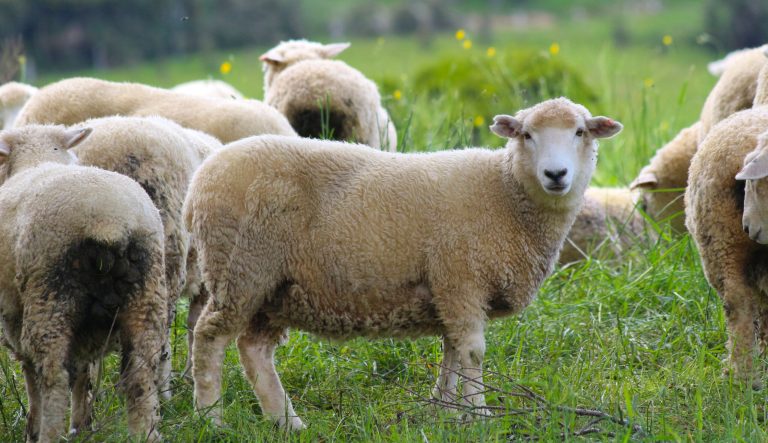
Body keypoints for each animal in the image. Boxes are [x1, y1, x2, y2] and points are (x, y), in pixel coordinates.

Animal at [0, 124, 167, 442]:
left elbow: (33, 376)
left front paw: (34, 428)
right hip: (147, 295)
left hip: (50, 296)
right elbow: (84, 373)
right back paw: (144, 433)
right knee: (141, 374)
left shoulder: (14, 315)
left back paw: (48, 433)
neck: (38, 160)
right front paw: (81, 425)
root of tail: (108, 220)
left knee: (53, 377)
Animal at [183, 97, 623, 429]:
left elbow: (451, 353)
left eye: (580, 132)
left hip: (274, 286)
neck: (506, 193)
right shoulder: (461, 278)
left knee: (254, 349)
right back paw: (211, 418)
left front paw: (445, 410)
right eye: (527, 135)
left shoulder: (449, 290)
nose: (556, 174)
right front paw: (479, 415)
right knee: (209, 337)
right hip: (240, 267)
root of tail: (200, 178)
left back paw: (286, 423)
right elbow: (472, 353)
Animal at [685, 106, 768, 387]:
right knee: (741, 305)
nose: (748, 228)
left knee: (738, 304)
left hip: (720, 241)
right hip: (724, 243)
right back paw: (742, 374)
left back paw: (740, 373)